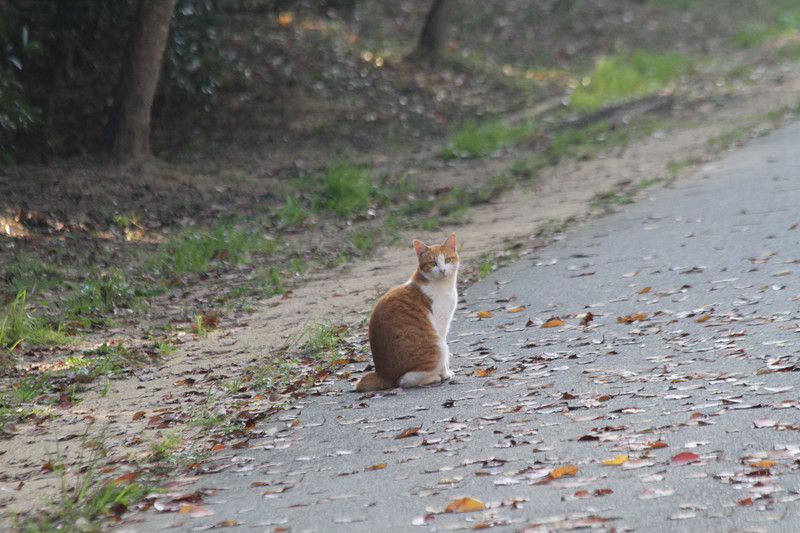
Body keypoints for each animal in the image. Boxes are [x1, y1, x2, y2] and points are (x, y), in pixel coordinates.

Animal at [354, 233, 460, 390]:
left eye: (447, 260)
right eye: (433, 263)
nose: (442, 270)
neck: (443, 286)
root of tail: (382, 374)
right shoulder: (440, 327)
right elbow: (444, 362)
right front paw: (446, 374)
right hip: (438, 345)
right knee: (403, 381)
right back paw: (434, 377)